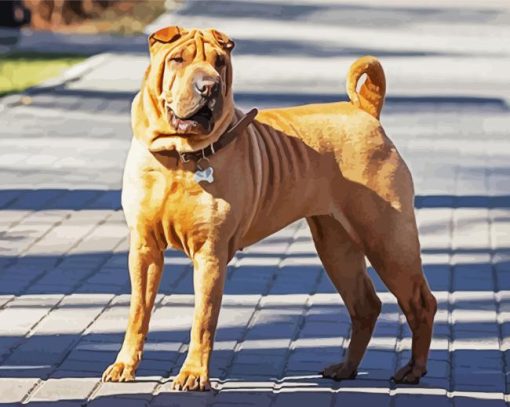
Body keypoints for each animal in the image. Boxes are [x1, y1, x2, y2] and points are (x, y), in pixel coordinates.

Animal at [101, 26, 436, 392]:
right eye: (178, 59)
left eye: (219, 63)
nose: (209, 86)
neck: (179, 158)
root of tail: (365, 111)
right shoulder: (144, 249)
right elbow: (138, 311)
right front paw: (124, 365)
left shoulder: (210, 253)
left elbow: (202, 319)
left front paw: (193, 374)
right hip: (336, 247)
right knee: (366, 305)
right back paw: (346, 368)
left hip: (387, 241)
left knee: (421, 302)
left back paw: (414, 370)